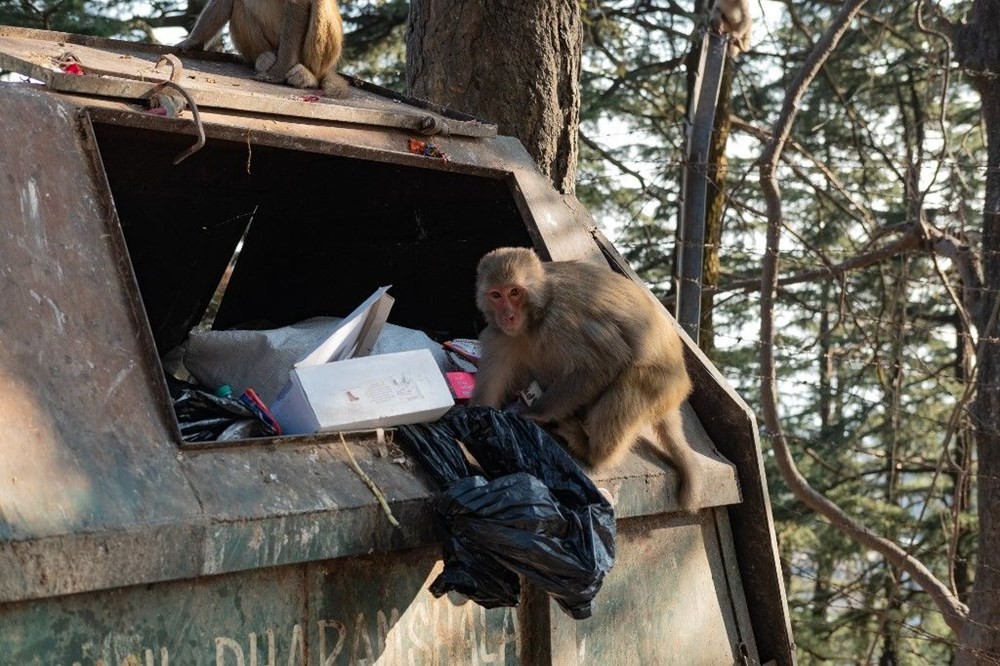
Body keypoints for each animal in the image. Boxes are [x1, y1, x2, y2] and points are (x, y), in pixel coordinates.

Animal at [178, 0, 350, 96]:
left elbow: (298, 4)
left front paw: (277, 73)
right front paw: (192, 41)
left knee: (320, 2)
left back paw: (311, 75)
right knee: (239, 4)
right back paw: (262, 57)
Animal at [470, 246, 700, 510]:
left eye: (515, 292)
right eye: (496, 295)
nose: (508, 315)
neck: (539, 312)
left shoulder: (562, 320)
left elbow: (605, 362)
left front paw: (535, 413)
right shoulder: (500, 335)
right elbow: (489, 392)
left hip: (665, 386)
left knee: (633, 381)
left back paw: (591, 452)